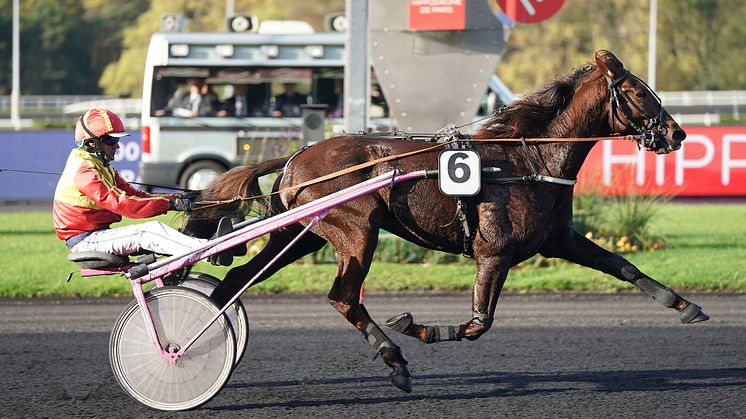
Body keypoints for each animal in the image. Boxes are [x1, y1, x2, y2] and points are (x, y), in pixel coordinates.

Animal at [185, 50, 704, 396]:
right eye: (637, 92)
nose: (677, 132)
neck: (528, 159)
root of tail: (298, 155)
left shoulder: (560, 239)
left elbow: (621, 265)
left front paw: (684, 305)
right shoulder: (494, 252)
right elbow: (479, 323)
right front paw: (419, 327)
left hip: (301, 234)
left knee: (234, 279)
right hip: (356, 231)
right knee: (343, 297)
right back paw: (395, 361)